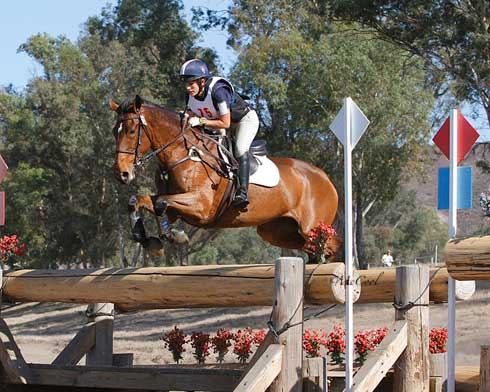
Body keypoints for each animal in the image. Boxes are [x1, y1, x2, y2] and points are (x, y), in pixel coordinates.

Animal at [110, 95, 338, 258]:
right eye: (114, 131)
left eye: (131, 131)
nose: (122, 173)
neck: (183, 153)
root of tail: (325, 177)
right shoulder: (175, 208)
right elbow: (139, 201)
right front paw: (147, 239)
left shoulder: (201, 207)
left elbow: (160, 204)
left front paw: (174, 236)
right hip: (278, 231)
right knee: (312, 249)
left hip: (312, 227)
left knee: (331, 247)